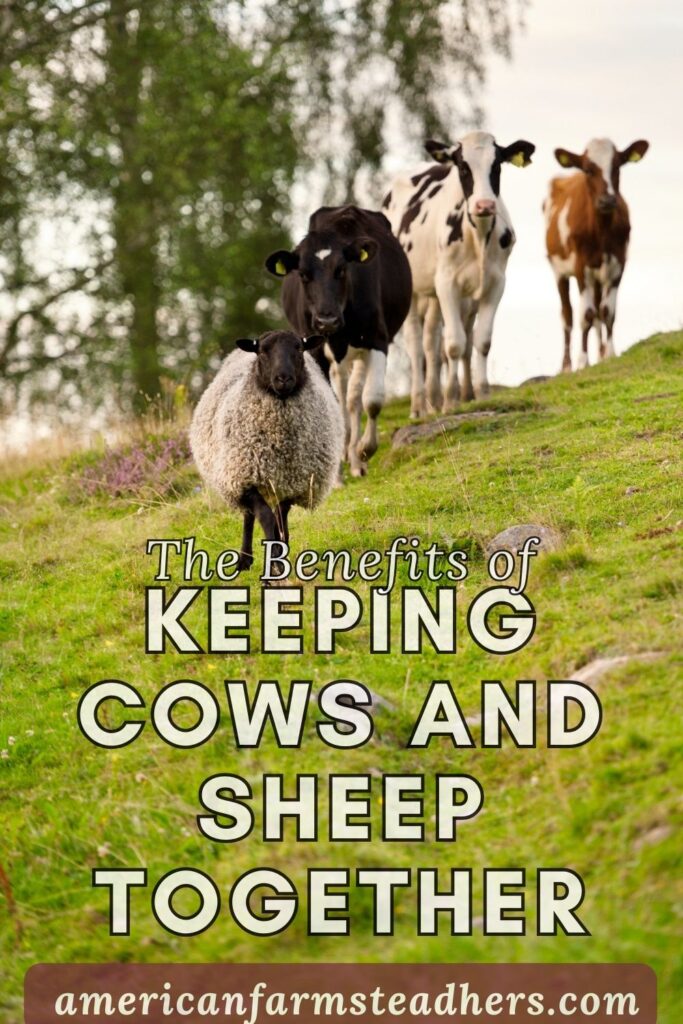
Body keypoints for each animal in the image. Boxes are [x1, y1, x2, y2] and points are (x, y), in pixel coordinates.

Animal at [190, 330, 344, 574]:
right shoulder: (247, 480)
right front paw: (273, 563)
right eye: (262, 351)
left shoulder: (293, 483)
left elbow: (280, 520)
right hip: (238, 476)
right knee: (248, 515)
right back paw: (244, 560)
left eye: (299, 348)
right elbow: (266, 518)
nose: (283, 379)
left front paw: (280, 555)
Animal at [265, 205, 412, 477]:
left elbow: (372, 399)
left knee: (352, 398)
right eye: (303, 274)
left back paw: (354, 457)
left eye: (342, 270)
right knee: (343, 398)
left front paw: (364, 450)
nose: (327, 320)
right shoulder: (313, 351)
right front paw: (336, 476)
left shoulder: (377, 339)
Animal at [384, 131, 535, 417]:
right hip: (412, 291)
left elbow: (481, 341)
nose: (484, 204)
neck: (479, 235)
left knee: (431, 340)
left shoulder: (495, 283)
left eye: (497, 166)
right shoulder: (447, 284)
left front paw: (481, 394)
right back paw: (419, 406)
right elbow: (454, 344)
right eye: (463, 168)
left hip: (434, 294)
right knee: (416, 344)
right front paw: (451, 401)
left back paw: (433, 399)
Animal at [544, 137, 649, 371]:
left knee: (599, 312)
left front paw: (608, 355)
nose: (607, 201)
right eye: (588, 169)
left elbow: (607, 311)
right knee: (567, 316)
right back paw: (566, 366)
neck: (601, 230)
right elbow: (587, 314)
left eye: (617, 166)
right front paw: (583, 361)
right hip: (559, 273)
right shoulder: (581, 268)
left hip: (599, 276)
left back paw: (599, 354)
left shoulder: (618, 264)